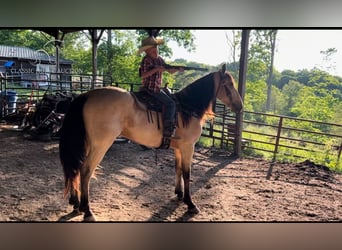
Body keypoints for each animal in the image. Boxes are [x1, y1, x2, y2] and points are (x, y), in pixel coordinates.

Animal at [60, 64, 244, 221]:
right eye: (228, 85)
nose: (240, 106)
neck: (187, 109)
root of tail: (86, 95)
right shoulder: (188, 147)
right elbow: (187, 173)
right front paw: (190, 204)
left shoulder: (178, 148)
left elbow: (177, 169)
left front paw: (179, 194)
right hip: (100, 145)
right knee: (85, 171)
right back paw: (87, 211)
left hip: (89, 144)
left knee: (76, 169)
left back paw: (76, 205)